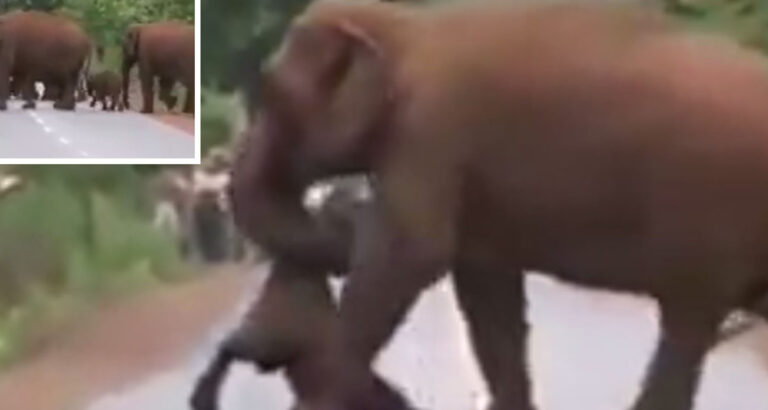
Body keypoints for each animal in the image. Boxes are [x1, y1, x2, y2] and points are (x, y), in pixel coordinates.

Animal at [228, 0, 768, 410]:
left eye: (271, 92)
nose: (343, 214)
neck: (405, 26)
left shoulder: (431, 129)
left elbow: (410, 256)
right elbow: (486, 289)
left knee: (687, 321)